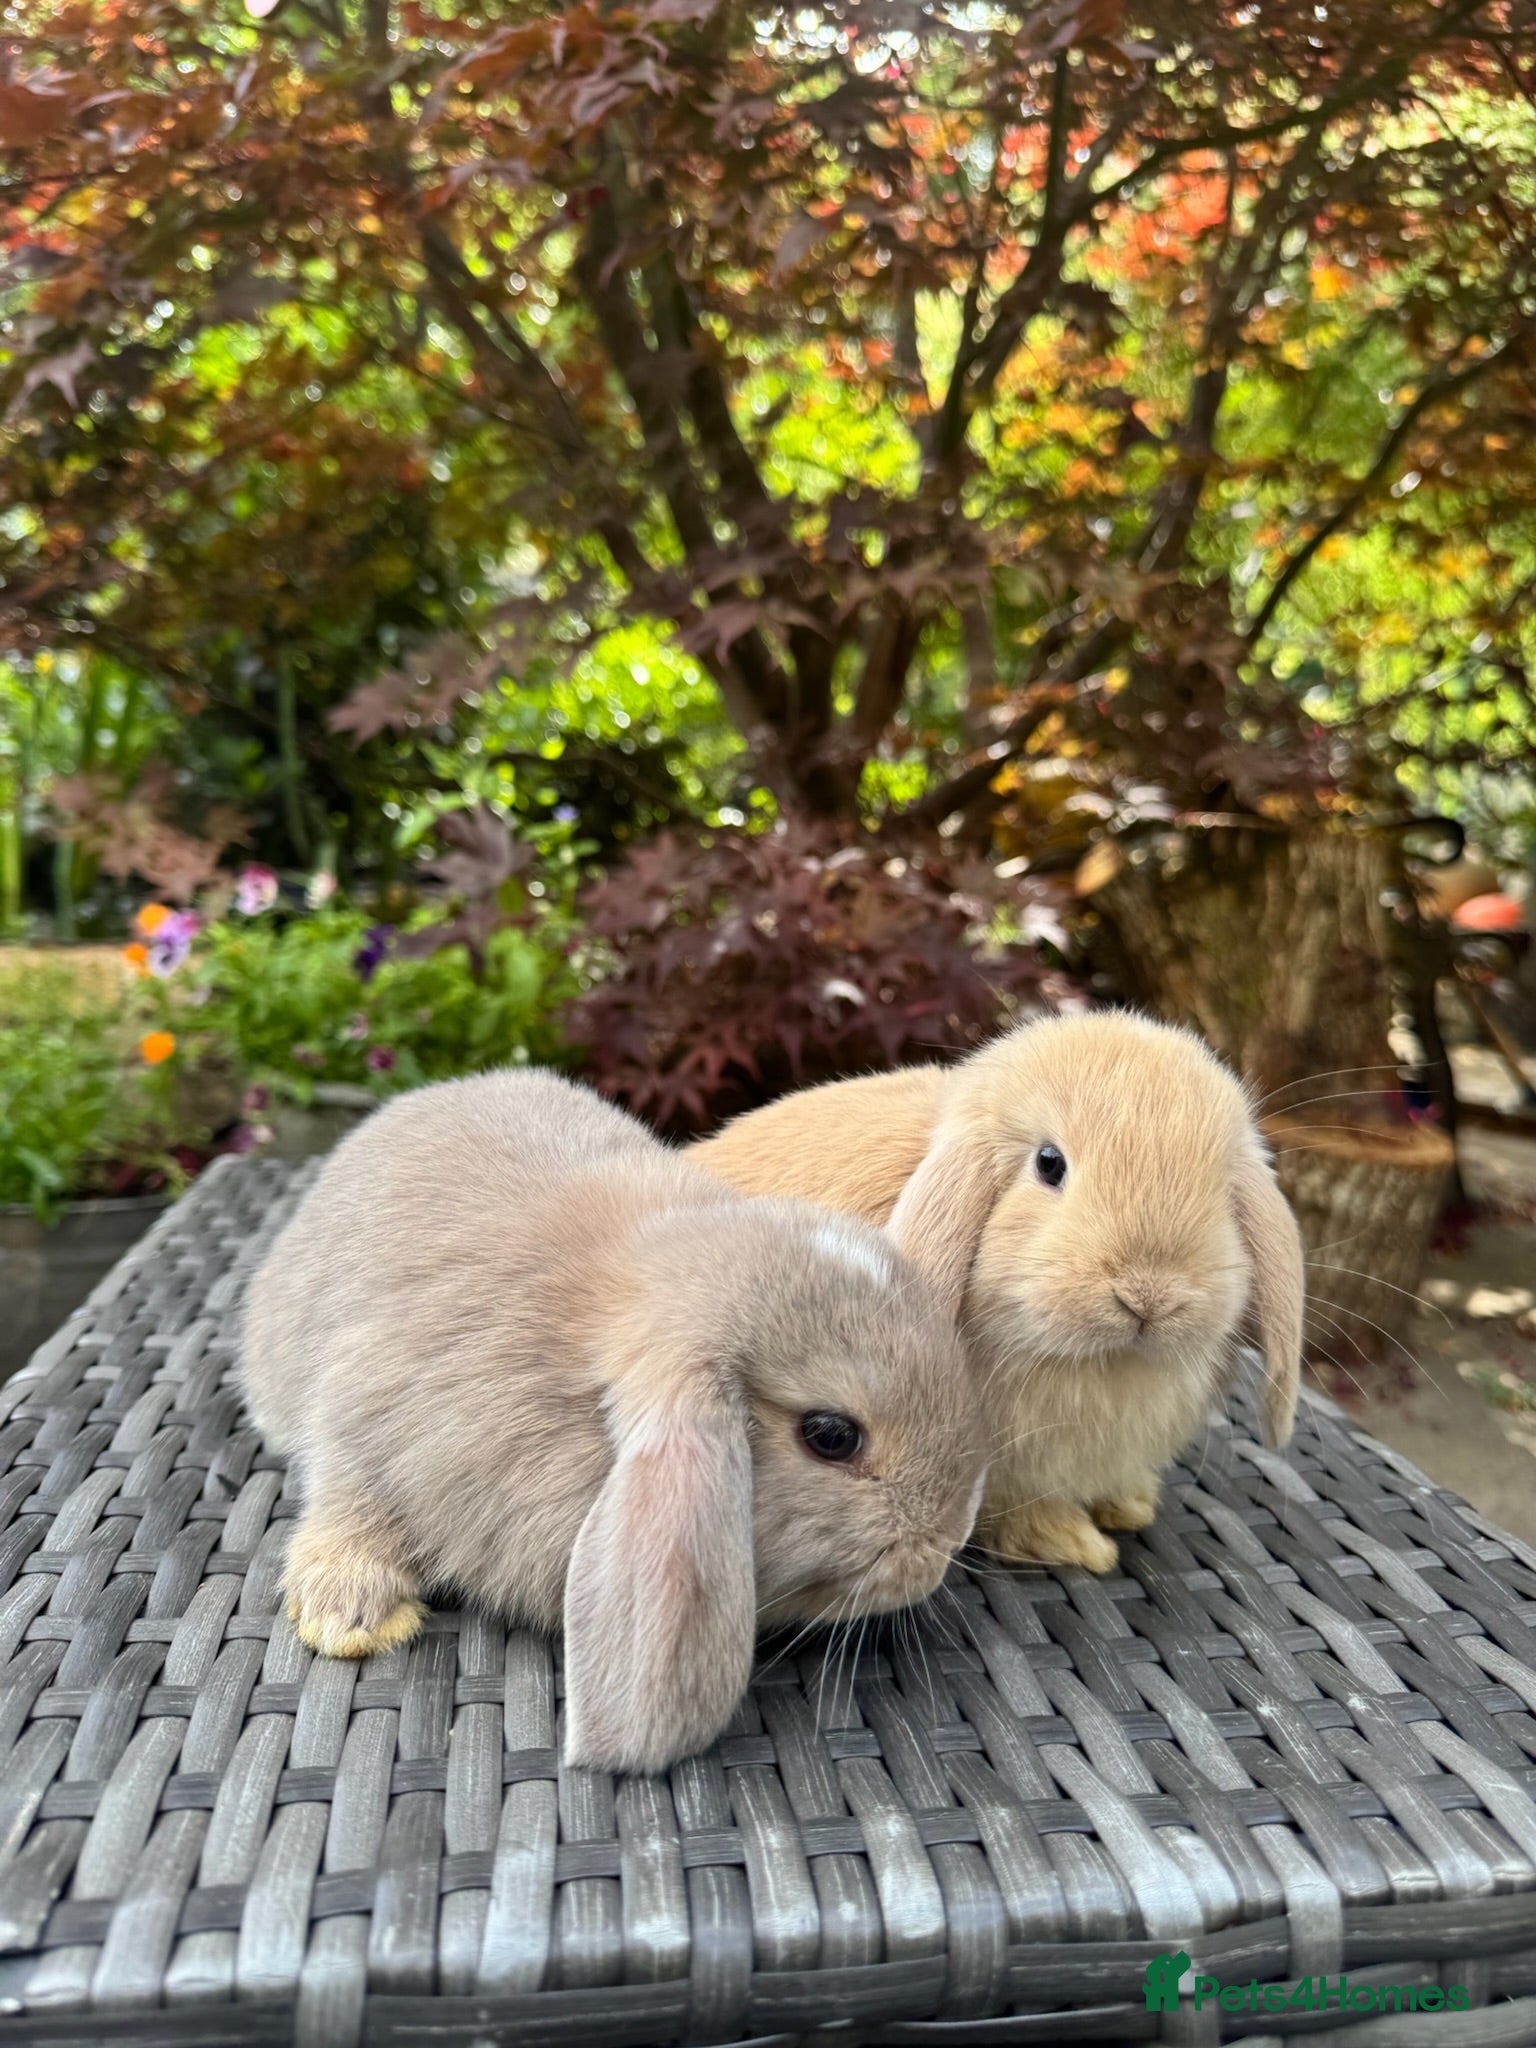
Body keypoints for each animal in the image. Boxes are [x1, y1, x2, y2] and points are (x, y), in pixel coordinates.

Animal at [695, 1011, 1304, 1575]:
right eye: (1049, 1163)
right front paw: (1078, 1545)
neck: (1102, 1364)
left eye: (1223, 1187)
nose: (1148, 1295)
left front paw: (1130, 1505)